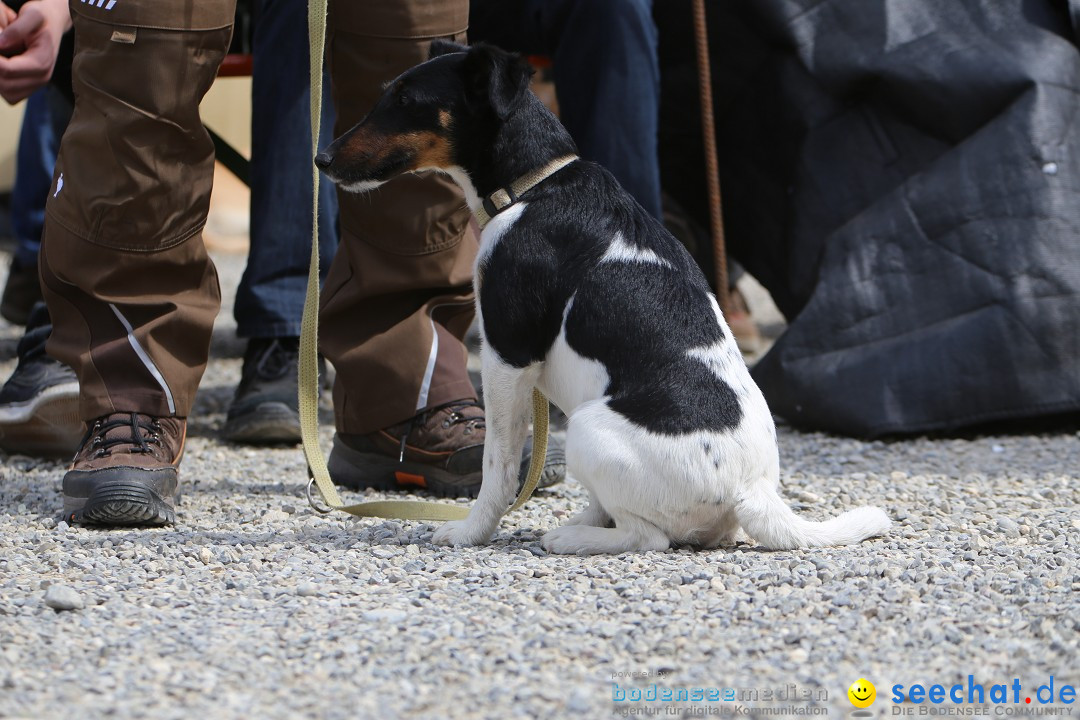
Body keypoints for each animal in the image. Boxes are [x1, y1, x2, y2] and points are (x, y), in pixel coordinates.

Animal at [311, 39, 885, 557]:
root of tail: (752, 492)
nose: (321, 158)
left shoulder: (506, 355)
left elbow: (497, 466)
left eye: (407, 101)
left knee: (648, 537)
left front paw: (471, 532)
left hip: (586, 428)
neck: (536, 187)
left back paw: (570, 538)